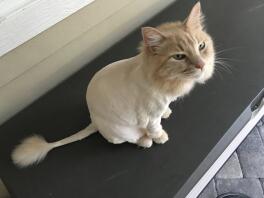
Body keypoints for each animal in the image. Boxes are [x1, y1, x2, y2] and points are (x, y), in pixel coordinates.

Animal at [11, 2, 216, 168]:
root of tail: (94, 121)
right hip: (120, 133)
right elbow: (155, 129)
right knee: (135, 139)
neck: (159, 77)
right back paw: (145, 141)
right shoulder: (150, 116)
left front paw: (167, 112)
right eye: (179, 56)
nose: (202, 65)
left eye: (201, 46)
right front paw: (160, 137)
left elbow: (164, 111)